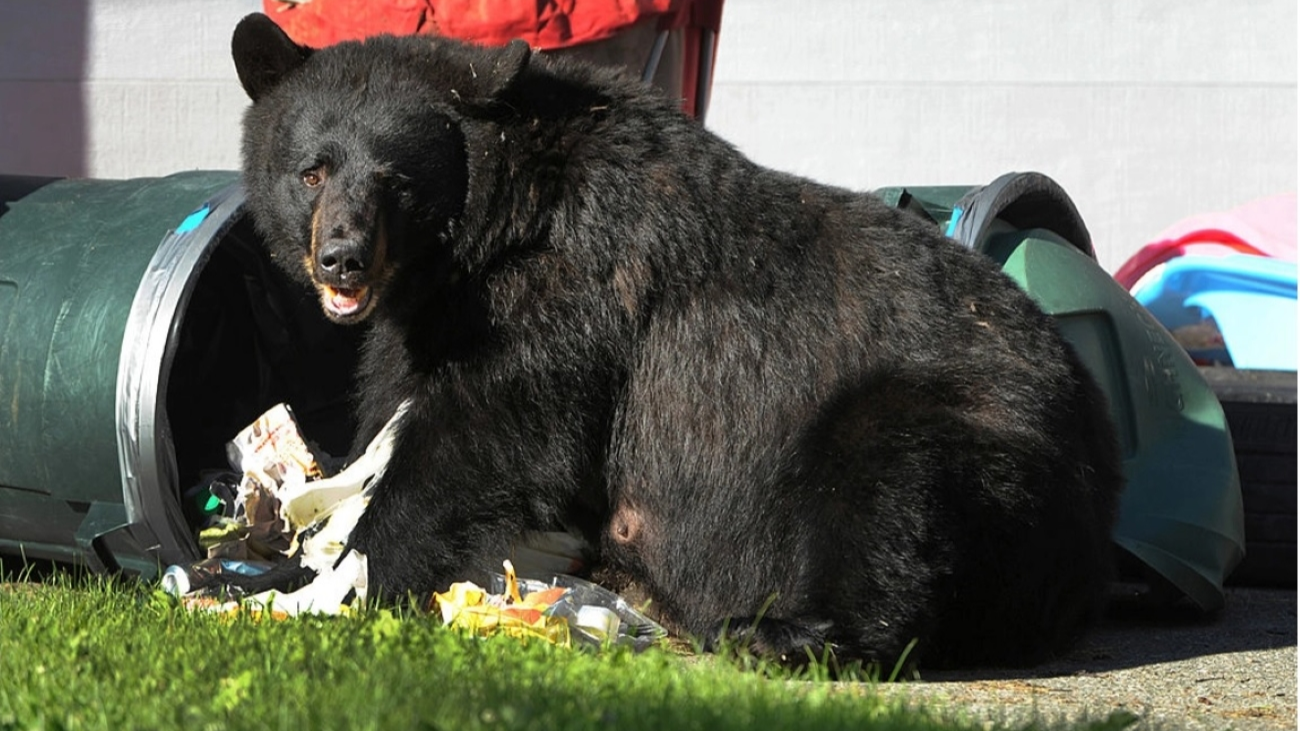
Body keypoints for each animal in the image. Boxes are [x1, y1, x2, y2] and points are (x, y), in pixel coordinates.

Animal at [228, 14, 1123, 671]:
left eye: (397, 179)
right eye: (311, 170)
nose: (342, 256)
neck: (490, 233)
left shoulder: (576, 293)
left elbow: (483, 432)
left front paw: (349, 576)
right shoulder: (425, 319)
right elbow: (389, 405)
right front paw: (290, 558)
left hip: (970, 429)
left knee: (892, 498)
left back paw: (784, 632)